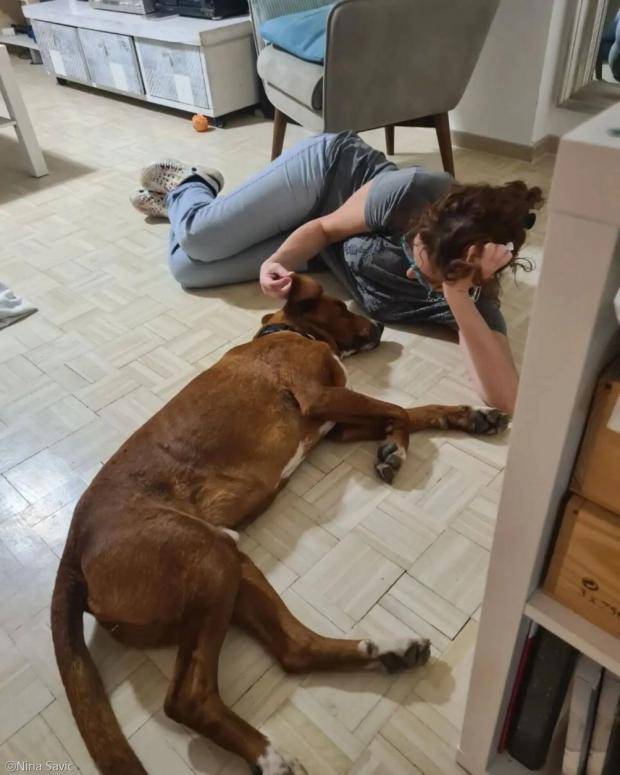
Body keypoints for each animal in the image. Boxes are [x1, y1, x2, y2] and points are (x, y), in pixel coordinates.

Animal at [51, 275, 508, 775]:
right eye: (341, 306)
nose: (382, 327)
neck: (289, 332)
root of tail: (72, 553)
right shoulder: (323, 397)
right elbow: (400, 411)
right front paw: (397, 448)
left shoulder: (337, 425)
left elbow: (412, 409)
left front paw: (467, 416)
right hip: (208, 559)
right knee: (187, 697)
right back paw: (267, 754)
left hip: (231, 565)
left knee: (295, 649)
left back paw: (388, 650)